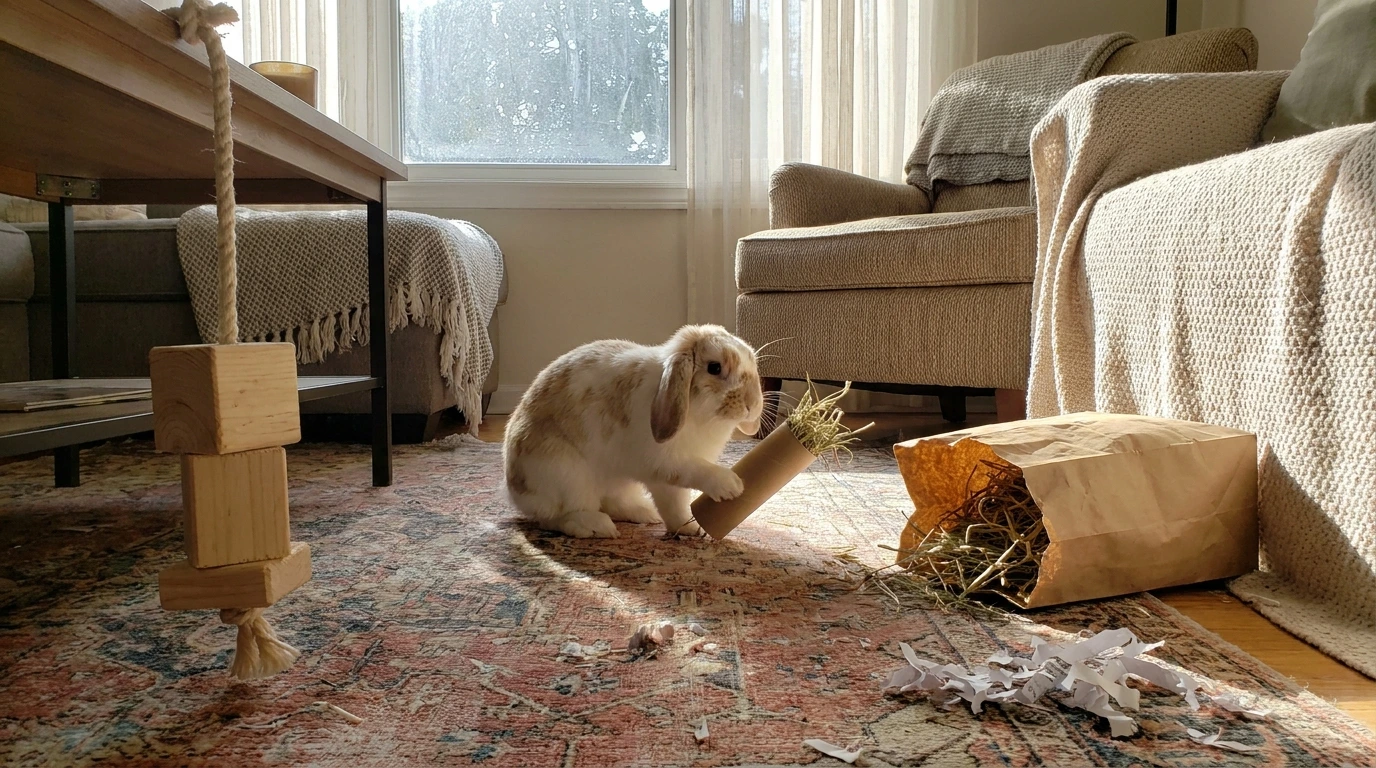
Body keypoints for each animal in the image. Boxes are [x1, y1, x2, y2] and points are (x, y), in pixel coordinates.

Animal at [503, 324, 764, 538]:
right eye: (714, 367)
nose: (752, 403)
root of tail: (514, 492)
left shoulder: (668, 476)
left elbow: (676, 504)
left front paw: (691, 528)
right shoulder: (669, 464)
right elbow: (691, 478)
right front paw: (730, 486)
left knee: (610, 502)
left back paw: (644, 513)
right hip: (564, 474)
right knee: (555, 517)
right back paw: (596, 526)